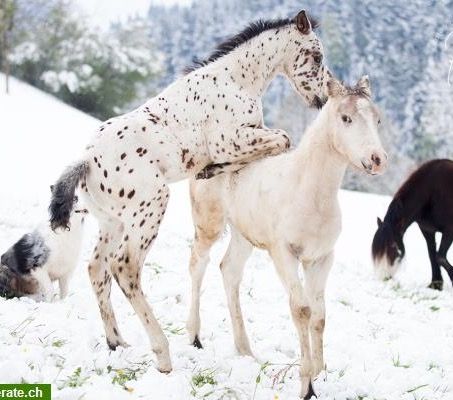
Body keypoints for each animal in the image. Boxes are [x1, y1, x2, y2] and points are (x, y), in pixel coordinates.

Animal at [187, 76, 384, 398]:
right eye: (346, 118)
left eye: (377, 119)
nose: (377, 159)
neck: (309, 192)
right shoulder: (283, 254)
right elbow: (301, 309)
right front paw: (306, 384)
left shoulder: (321, 259)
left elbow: (319, 314)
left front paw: (317, 371)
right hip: (208, 225)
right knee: (197, 266)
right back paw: (194, 337)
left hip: (243, 235)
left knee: (229, 272)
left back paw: (246, 351)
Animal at [370, 159, 452, 290]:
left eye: (393, 246)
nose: (385, 276)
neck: (432, 193)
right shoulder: (427, 230)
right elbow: (432, 255)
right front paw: (436, 285)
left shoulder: (449, 231)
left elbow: (440, 257)